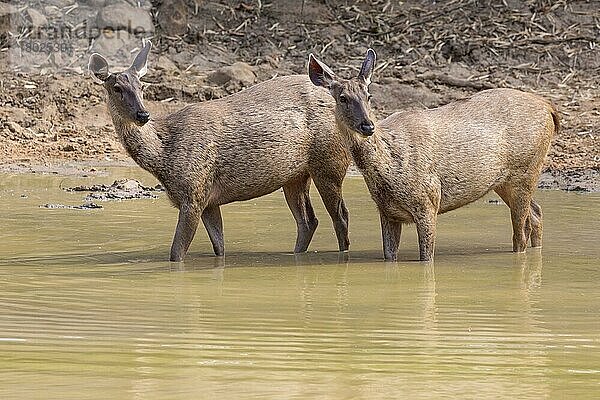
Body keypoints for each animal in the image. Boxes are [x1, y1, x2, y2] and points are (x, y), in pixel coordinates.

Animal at [89, 39, 352, 260]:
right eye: (116, 88)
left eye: (141, 85)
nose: (143, 114)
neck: (164, 158)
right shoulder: (209, 200)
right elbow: (219, 247)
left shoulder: (194, 193)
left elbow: (176, 254)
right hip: (295, 175)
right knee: (308, 221)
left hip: (329, 162)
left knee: (340, 217)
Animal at [310, 49, 556, 262]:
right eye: (342, 98)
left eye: (369, 95)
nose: (367, 126)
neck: (388, 170)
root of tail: (550, 108)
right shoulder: (387, 211)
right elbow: (390, 256)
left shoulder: (428, 199)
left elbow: (426, 258)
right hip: (504, 181)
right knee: (536, 214)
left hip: (526, 170)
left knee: (521, 232)